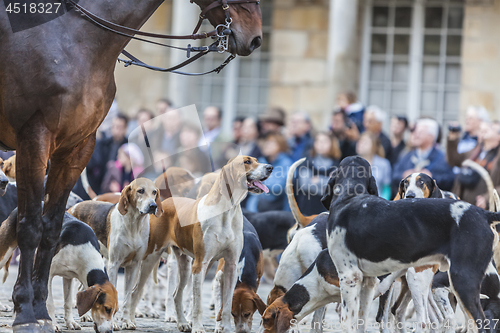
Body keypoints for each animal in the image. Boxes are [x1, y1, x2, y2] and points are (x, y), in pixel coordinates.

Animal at [0, 1, 264, 330]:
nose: (256, 38)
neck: (78, 38)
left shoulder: (77, 147)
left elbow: (50, 229)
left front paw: (40, 310)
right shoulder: (33, 138)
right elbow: (31, 227)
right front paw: (26, 311)